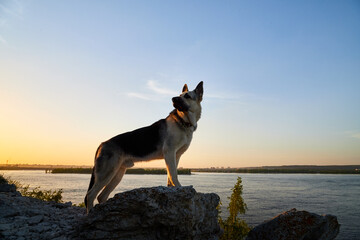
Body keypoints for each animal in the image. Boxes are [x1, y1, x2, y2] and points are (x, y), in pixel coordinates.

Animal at [84, 81, 202, 213]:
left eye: (187, 96)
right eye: (180, 95)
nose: (173, 99)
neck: (182, 121)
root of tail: (102, 144)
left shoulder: (176, 156)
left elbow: (170, 175)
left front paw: (172, 190)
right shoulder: (170, 153)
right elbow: (173, 174)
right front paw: (178, 187)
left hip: (117, 173)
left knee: (101, 196)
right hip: (107, 172)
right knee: (90, 195)